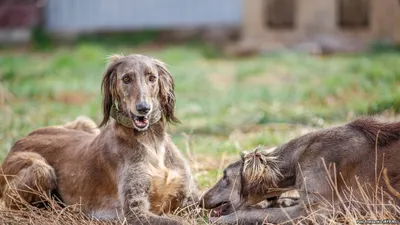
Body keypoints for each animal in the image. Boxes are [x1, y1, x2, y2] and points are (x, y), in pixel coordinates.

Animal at [0, 53, 198, 224]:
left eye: (152, 78)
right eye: (126, 79)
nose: (143, 108)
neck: (152, 140)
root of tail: (18, 142)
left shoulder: (190, 199)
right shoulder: (135, 212)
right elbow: (180, 222)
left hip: (84, 122)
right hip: (40, 169)